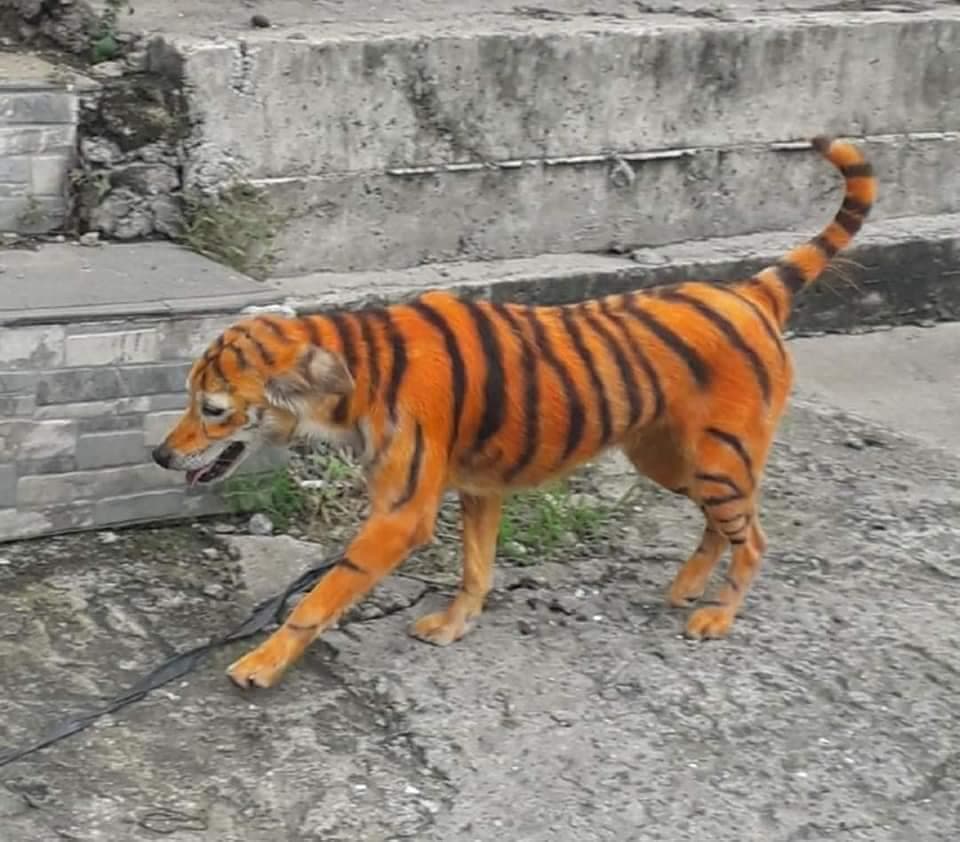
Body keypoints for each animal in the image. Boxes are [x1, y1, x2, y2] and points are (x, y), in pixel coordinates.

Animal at [153, 136, 876, 690]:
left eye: (213, 408)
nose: (160, 454)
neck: (354, 371)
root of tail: (751, 290)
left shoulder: (402, 513)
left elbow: (322, 595)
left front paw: (260, 663)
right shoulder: (478, 488)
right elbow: (476, 567)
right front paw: (453, 625)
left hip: (718, 458)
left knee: (753, 537)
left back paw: (717, 616)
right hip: (672, 458)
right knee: (723, 526)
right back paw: (686, 588)